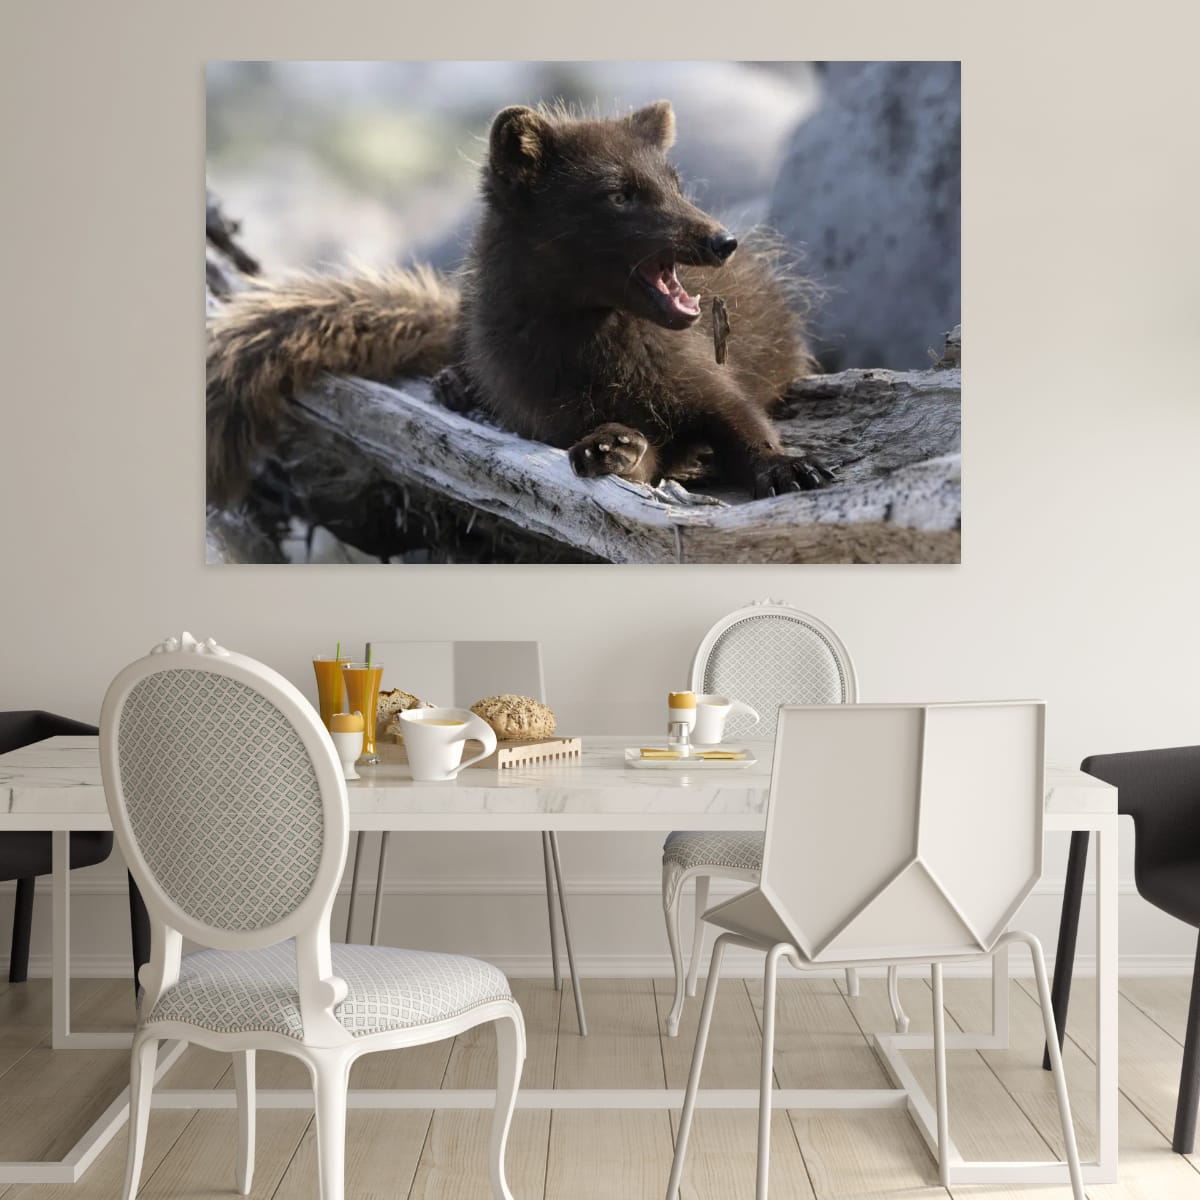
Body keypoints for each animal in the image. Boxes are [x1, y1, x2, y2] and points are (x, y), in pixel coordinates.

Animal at [206, 100, 832, 508]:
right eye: (620, 194)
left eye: (677, 184)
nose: (722, 241)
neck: (602, 363)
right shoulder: (550, 416)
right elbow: (646, 461)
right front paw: (615, 446)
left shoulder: (705, 378)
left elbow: (744, 420)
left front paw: (790, 468)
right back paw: (455, 387)